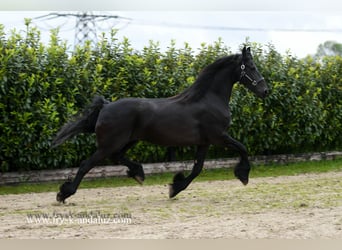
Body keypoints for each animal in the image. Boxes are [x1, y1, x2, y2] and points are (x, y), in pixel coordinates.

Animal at [52, 46, 268, 203]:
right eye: (251, 67)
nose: (265, 90)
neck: (208, 99)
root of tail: (105, 106)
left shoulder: (205, 142)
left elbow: (197, 168)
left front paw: (175, 188)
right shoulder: (219, 136)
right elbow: (242, 148)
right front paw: (243, 176)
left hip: (127, 141)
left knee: (117, 157)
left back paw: (138, 173)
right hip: (110, 144)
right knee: (86, 165)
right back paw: (64, 194)